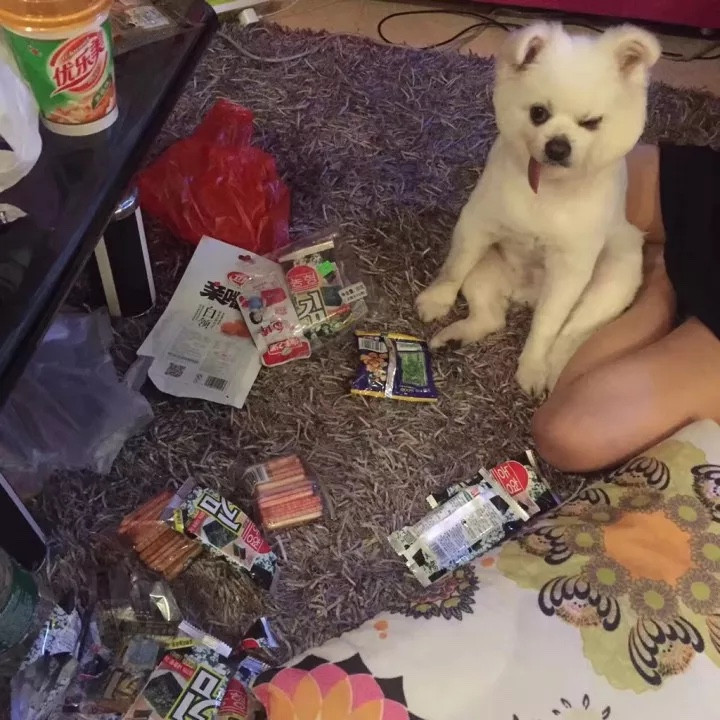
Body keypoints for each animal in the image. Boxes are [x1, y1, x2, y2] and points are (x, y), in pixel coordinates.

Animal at [415, 22, 661, 396]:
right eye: (538, 113)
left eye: (591, 123)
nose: (558, 146)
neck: (549, 189)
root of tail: (524, 293)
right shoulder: (476, 226)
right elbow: (453, 269)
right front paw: (436, 300)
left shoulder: (569, 270)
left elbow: (545, 326)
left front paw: (531, 367)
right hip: (486, 268)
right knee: (490, 317)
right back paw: (455, 337)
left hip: (611, 278)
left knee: (567, 336)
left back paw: (552, 371)